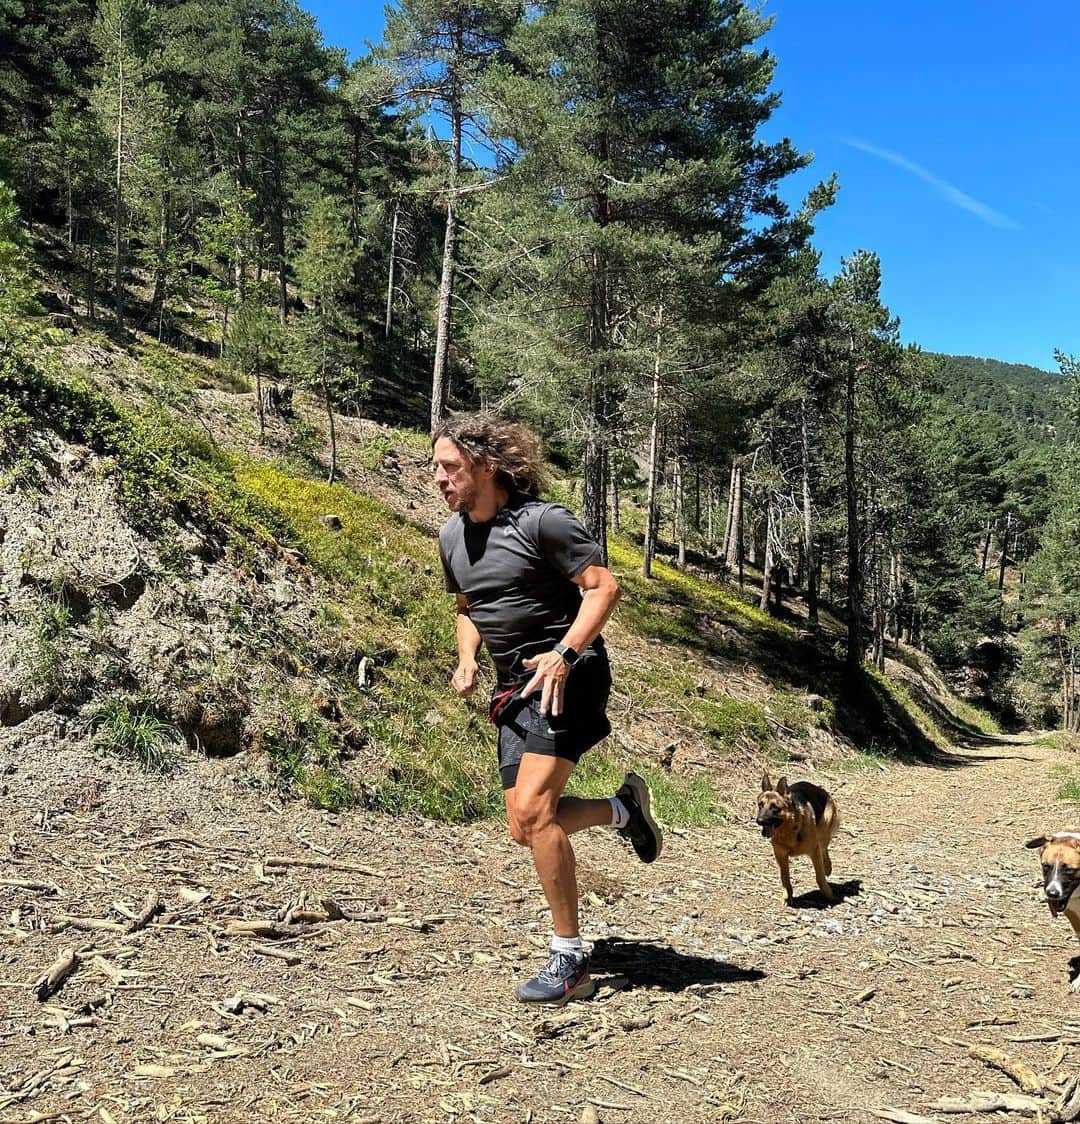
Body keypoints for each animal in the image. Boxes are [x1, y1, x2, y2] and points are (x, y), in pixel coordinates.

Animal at [755, 773, 840, 903]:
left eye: (775, 807)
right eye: (760, 805)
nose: (759, 821)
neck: (789, 830)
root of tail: (819, 788)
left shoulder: (814, 851)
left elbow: (820, 876)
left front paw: (828, 894)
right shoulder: (780, 855)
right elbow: (784, 877)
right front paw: (787, 895)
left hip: (823, 834)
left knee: (824, 849)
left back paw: (828, 867)